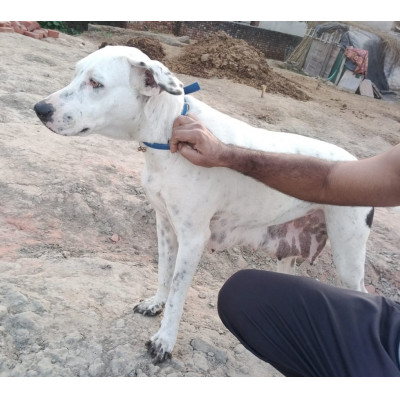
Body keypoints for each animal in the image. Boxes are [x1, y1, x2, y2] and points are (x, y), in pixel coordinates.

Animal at [34, 45, 374, 364]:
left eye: (96, 83)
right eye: (76, 73)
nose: (40, 109)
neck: (167, 133)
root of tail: (356, 163)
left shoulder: (193, 238)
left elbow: (177, 292)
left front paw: (164, 341)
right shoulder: (165, 225)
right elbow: (164, 274)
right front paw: (155, 303)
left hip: (347, 258)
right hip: (288, 249)